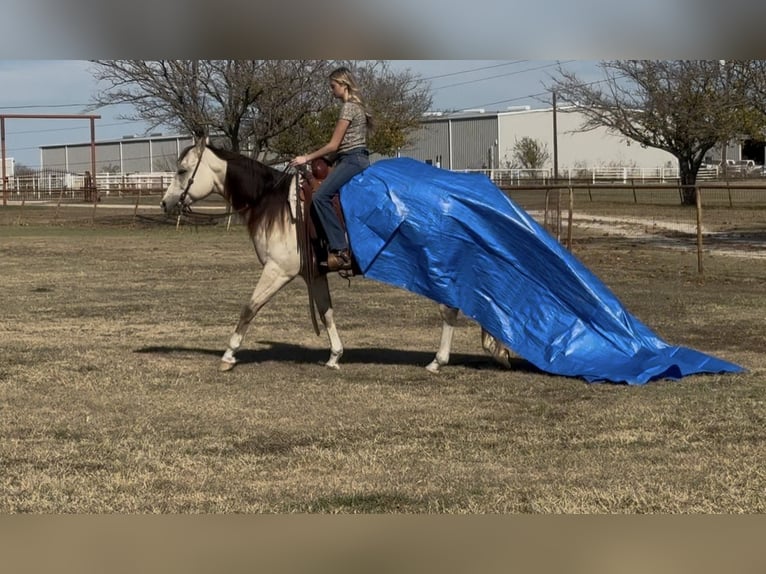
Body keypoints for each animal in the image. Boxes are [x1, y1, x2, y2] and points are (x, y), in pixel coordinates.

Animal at [160, 139, 513, 373]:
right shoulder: (313, 274)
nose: (165, 203)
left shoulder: (278, 270)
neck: (272, 201)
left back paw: (438, 362)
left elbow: (250, 308)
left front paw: (229, 355)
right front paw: (334, 356)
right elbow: (326, 311)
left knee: (450, 309)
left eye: (182, 170)